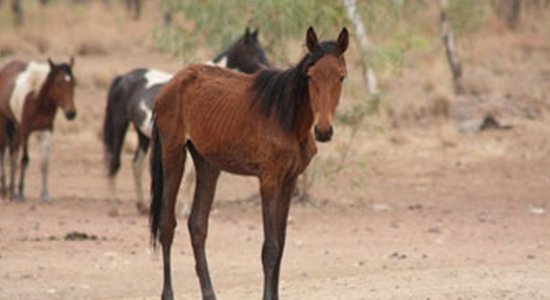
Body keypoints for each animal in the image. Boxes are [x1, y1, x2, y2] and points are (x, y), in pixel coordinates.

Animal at [0, 57, 76, 200]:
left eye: (74, 82)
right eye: (58, 82)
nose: (71, 113)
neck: (37, 100)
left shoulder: (46, 130)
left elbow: (44, 162)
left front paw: (45, 194)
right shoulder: (25, 131)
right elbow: (24, 159)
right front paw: (20, 192)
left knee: (12, 153)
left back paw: (10, 189)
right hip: (6, 123)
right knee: (4, 152)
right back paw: (6, 189)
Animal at [104, 26, 272, 213]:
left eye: (262, 50)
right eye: (252, 52)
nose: (268, 68)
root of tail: (123, 78)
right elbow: (190, 175)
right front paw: (184, 209)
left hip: (143, 134)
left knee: (136, 164)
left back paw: (142, 206)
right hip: (120, 125)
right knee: (115, 162)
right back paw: (113, 207)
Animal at [151, 26, 350, 300]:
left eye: (341, 77)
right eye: (310, 76)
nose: (323, 131)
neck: (287, 119)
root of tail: (169, 86)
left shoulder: (289, 181)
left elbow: (281, 244)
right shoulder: (268, 181)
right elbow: (270, 248)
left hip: (207, 164)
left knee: (198, 225)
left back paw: (209, 293)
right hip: (173, 153)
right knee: (167, 224)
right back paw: (168, 293)